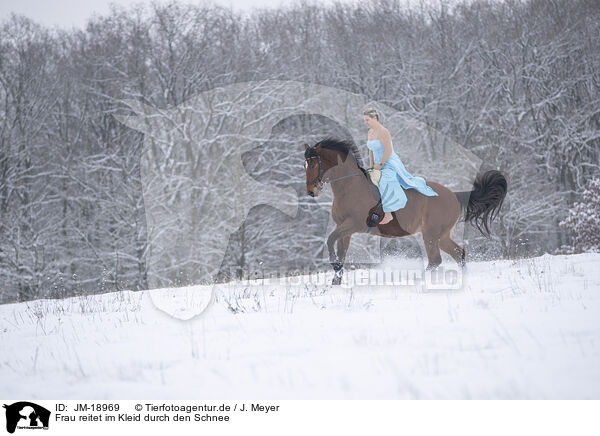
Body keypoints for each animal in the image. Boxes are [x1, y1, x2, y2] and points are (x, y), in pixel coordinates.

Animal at [304, 138, 506, 284]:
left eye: (313, 165)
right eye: (305, 165)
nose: (311, 192)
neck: (349, 187)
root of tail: (454, 196)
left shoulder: (352, 225)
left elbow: (330, 240)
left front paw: (334, 266)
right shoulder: (344, 230)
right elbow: (340, 252)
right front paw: (336, 279)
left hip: (431, 234)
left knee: (436, 260)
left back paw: (420, 280)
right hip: (441, 235)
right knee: (459, 254)